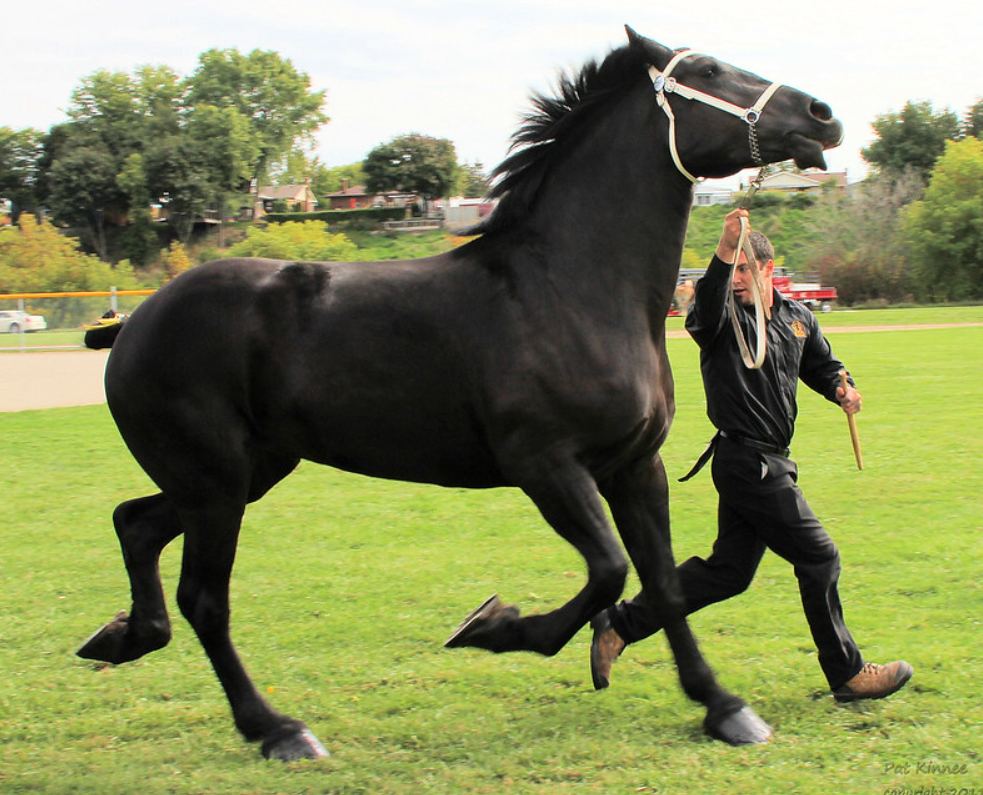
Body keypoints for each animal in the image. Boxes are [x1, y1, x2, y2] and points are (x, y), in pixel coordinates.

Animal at [80, 28, 840, 760]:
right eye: (708, 70)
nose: (820, 115)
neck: (570, 289)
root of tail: (135, 322)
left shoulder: (633, 467)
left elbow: (663, 582)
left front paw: (722, 706)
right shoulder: (545, 465)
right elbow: (607, 570)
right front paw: (493, 626)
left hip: (243, 473)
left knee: (134, 523)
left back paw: (123, 635)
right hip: (217, 484)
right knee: (205, 599)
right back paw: (276, 729)